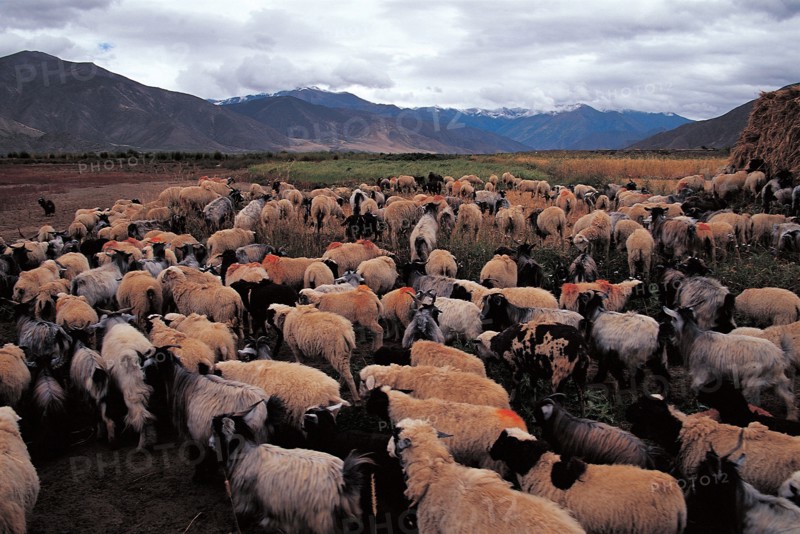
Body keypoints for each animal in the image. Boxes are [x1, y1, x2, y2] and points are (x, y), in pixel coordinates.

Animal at [209, 408, 371, 534]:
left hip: (321, 518)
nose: (210, 443)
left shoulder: (246, 498)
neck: (245, 453)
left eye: (215, 431)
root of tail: (344, 478)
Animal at [663, 306, 797, 420]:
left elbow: (696, 386)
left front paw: (697, 404)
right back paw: (791, 417)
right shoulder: (711, 374)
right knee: (789, 397)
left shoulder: (701, 371)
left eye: (673, 318)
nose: (668, 333)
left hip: (754, 380)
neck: (695, 338)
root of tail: (780, 355)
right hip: (778, 379)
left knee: (755, 401)